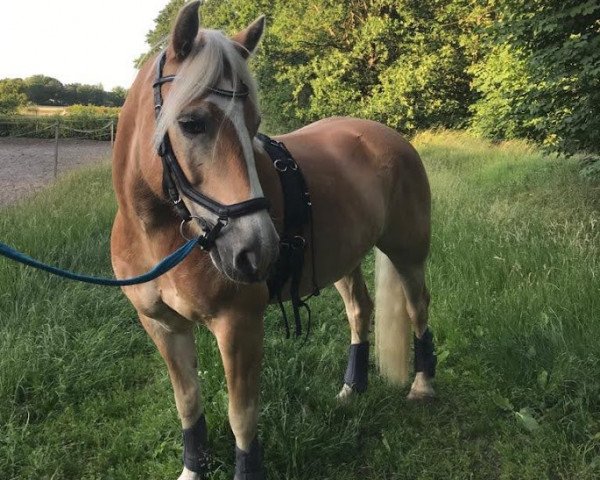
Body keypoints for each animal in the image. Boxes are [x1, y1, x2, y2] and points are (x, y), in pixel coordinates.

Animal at [109, 1, 436, 478]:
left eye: (254, 124)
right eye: (191, 123)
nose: (257, 250)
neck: (157, 237)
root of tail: (390, 137)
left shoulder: (239, 325)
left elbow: (241, 416)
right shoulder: (163, 326)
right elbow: (187, 404)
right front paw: (192, 468)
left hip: (407, 253)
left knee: (418, 308)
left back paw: (423, 384)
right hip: (340, 260)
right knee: (360, 309)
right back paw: (352, 388)